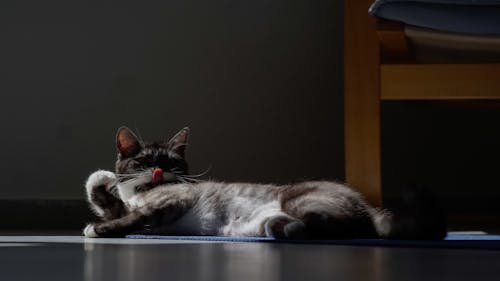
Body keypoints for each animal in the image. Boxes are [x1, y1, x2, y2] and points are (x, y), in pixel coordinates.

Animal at [84, 127, 448, 238]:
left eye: (171, 162)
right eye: (144, 162)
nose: (159, 172)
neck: (145, 193)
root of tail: (370, 208)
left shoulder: (171, 202)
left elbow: (135, 217)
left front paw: (100, 229)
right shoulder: (124, 204)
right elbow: (108, 200)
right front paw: (104, 180)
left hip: (301, 199)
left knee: (342, 226)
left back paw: (290, 227)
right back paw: (279, 227)